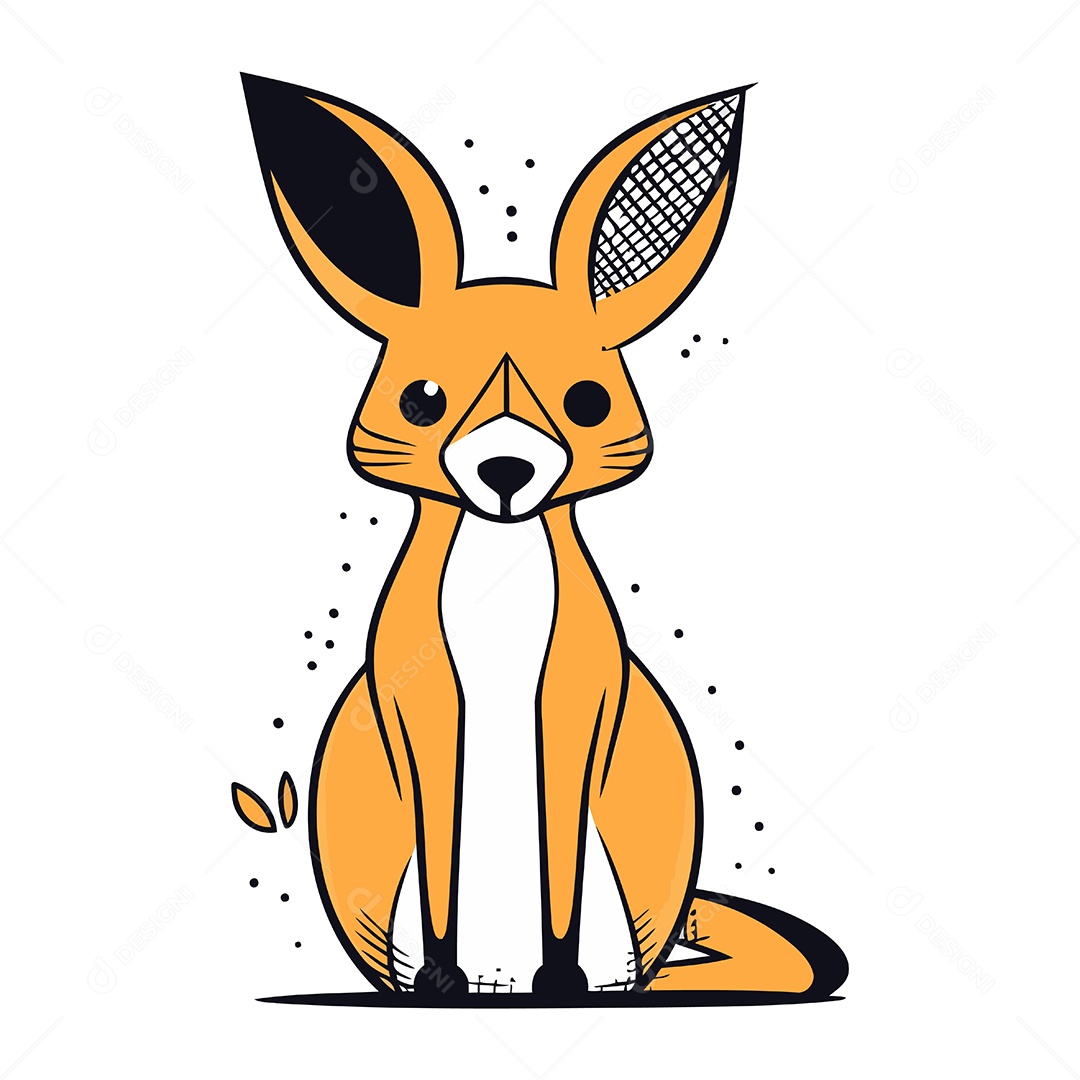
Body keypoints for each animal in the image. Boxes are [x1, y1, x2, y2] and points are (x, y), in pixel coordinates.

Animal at [237, 73, 848, 1002]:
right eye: (423, 400)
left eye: (587, 402)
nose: (505, 468)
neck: (501, 572)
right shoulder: (422, 702)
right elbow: (441, 868)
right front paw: (442, 981)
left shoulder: (575, 697)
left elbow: (560, 868)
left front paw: (557, 977)